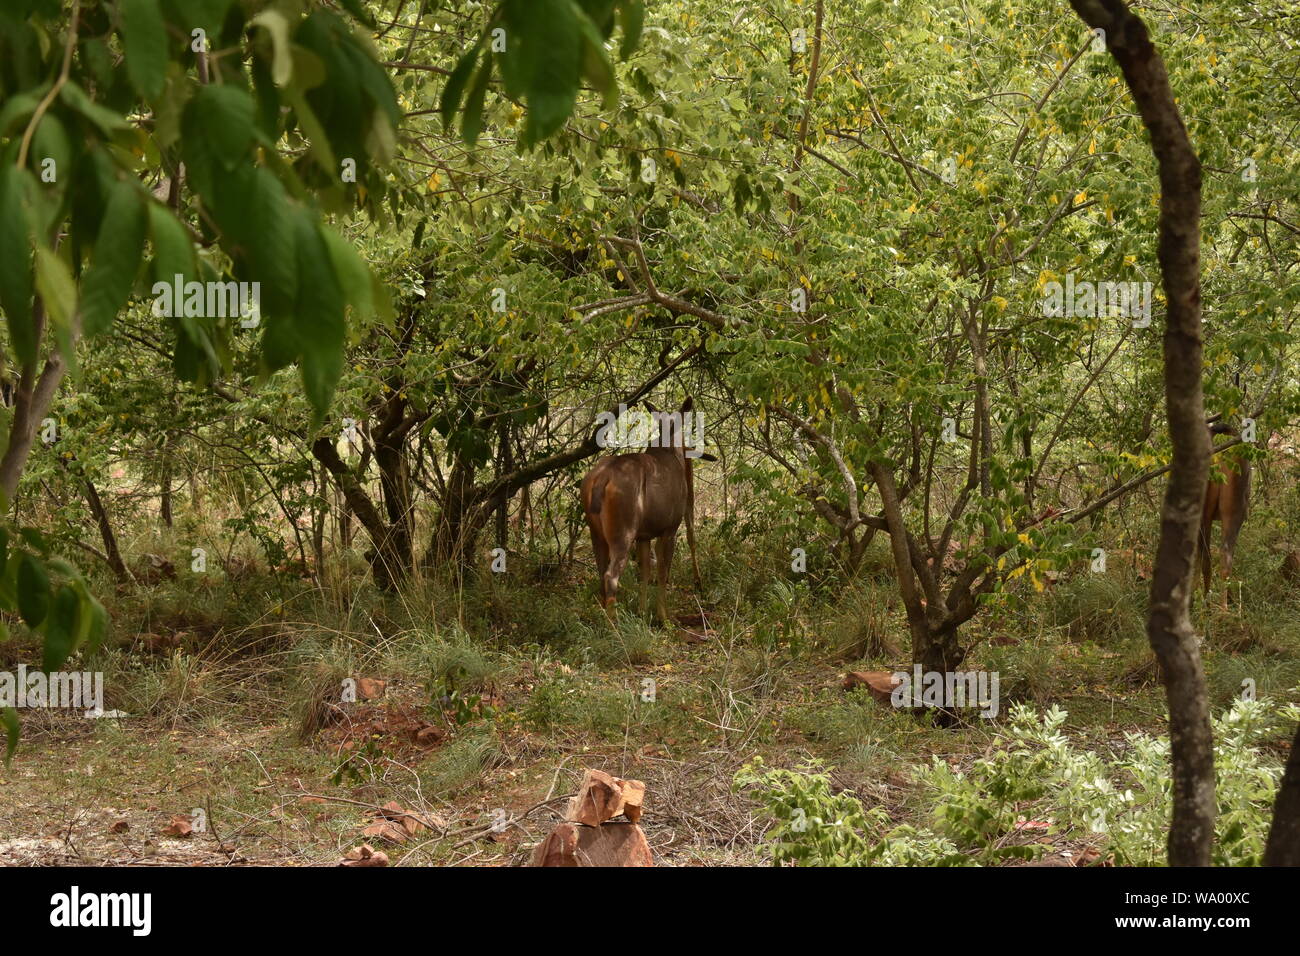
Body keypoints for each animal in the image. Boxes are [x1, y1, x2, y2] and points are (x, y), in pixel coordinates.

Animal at [585, 395, 717, 621]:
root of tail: (601, 481)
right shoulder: (670, 527)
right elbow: (663, 570)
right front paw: (663, 617)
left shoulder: (644, 534)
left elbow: (645, 571)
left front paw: (642, 612)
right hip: (623, 530)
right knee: (611, 576)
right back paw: (614, 625)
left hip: (596, 531)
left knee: (601, 571)